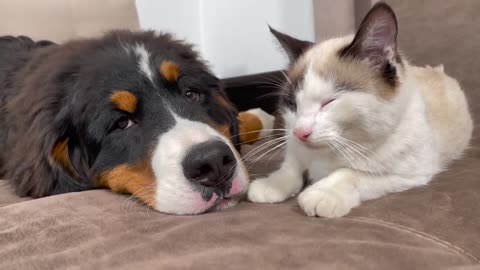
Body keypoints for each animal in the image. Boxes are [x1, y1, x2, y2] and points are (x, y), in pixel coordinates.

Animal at [248, 2, 472, 217]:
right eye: (292, 104)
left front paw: (322, 194)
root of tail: (437, 70)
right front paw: (271, 185)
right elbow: (291, 166)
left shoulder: (410, 173)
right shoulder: (293, 143)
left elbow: (350, 174)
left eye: (329, 102)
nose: (300, 132)